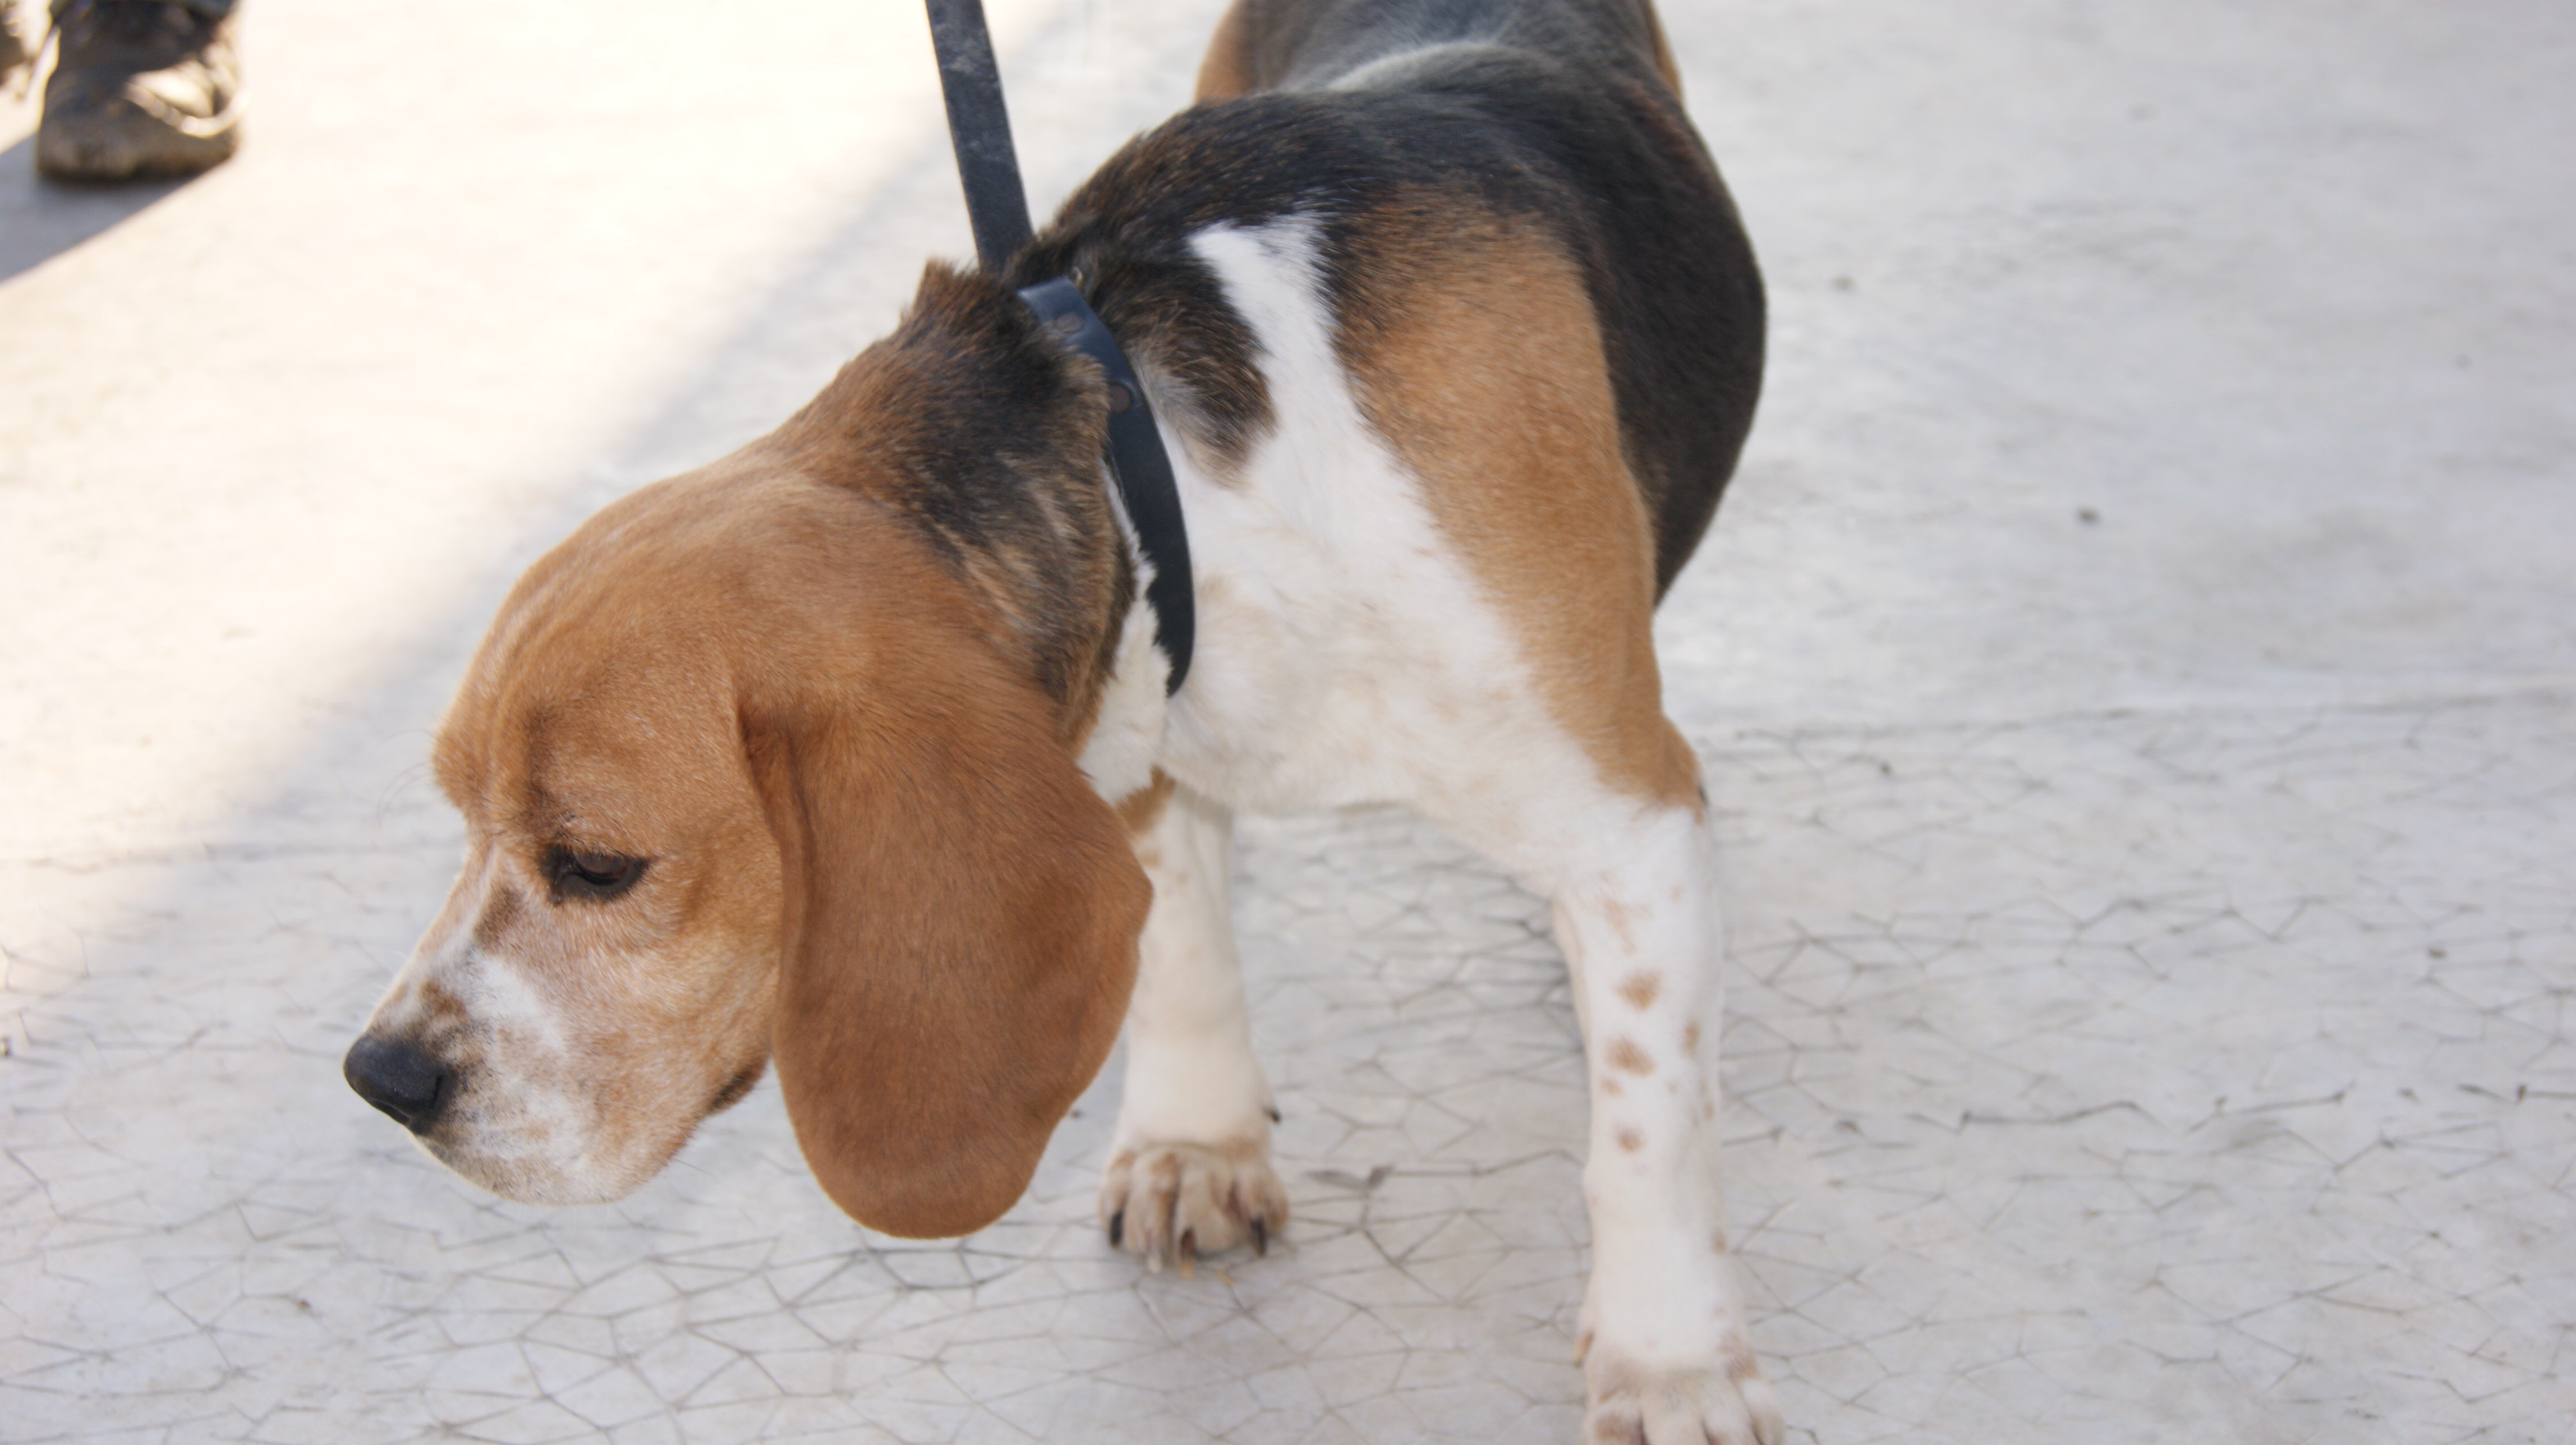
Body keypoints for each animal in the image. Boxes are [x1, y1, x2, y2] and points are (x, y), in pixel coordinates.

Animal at [347, 0, 1772, 1432]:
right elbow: (1182, 948)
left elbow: (1645, 1128)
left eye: (599, 867)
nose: (384, 1082)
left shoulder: (1630, 825)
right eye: (461, 819)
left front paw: (1670, 1361)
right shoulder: (1132, 742)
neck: (1159, 467)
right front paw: (1197, 1143)